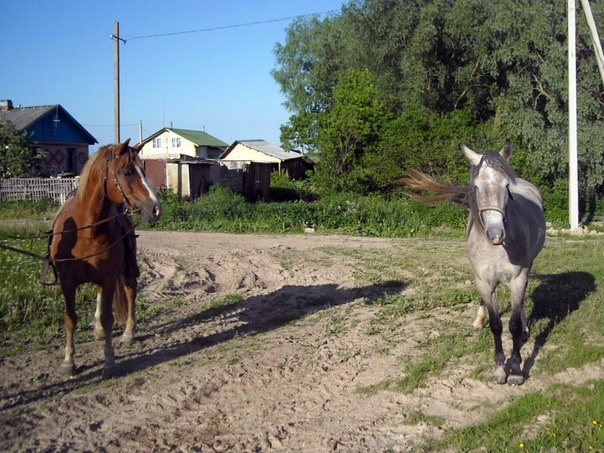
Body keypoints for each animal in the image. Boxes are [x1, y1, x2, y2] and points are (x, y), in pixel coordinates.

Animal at [50, 140, 161, 379]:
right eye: (127, 172)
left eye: (143, 170)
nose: (156, 209)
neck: (85, 231)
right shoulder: (67, 281)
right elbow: (70, 318)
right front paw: (68, 362)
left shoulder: (109, 277)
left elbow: (109, 318)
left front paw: (109, 361)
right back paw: (98, 331)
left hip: (126, 270)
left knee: (130, 292)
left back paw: (128, 333)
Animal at [404, 142, 546, 385]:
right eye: (477, 186)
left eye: (506, 185)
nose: (495, 234)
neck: (498, 249)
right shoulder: (483, 281)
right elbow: (497, 325)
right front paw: (499, 369)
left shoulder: (518, 280)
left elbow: (514, 325)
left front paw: (516, 369)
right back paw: (478, 322)